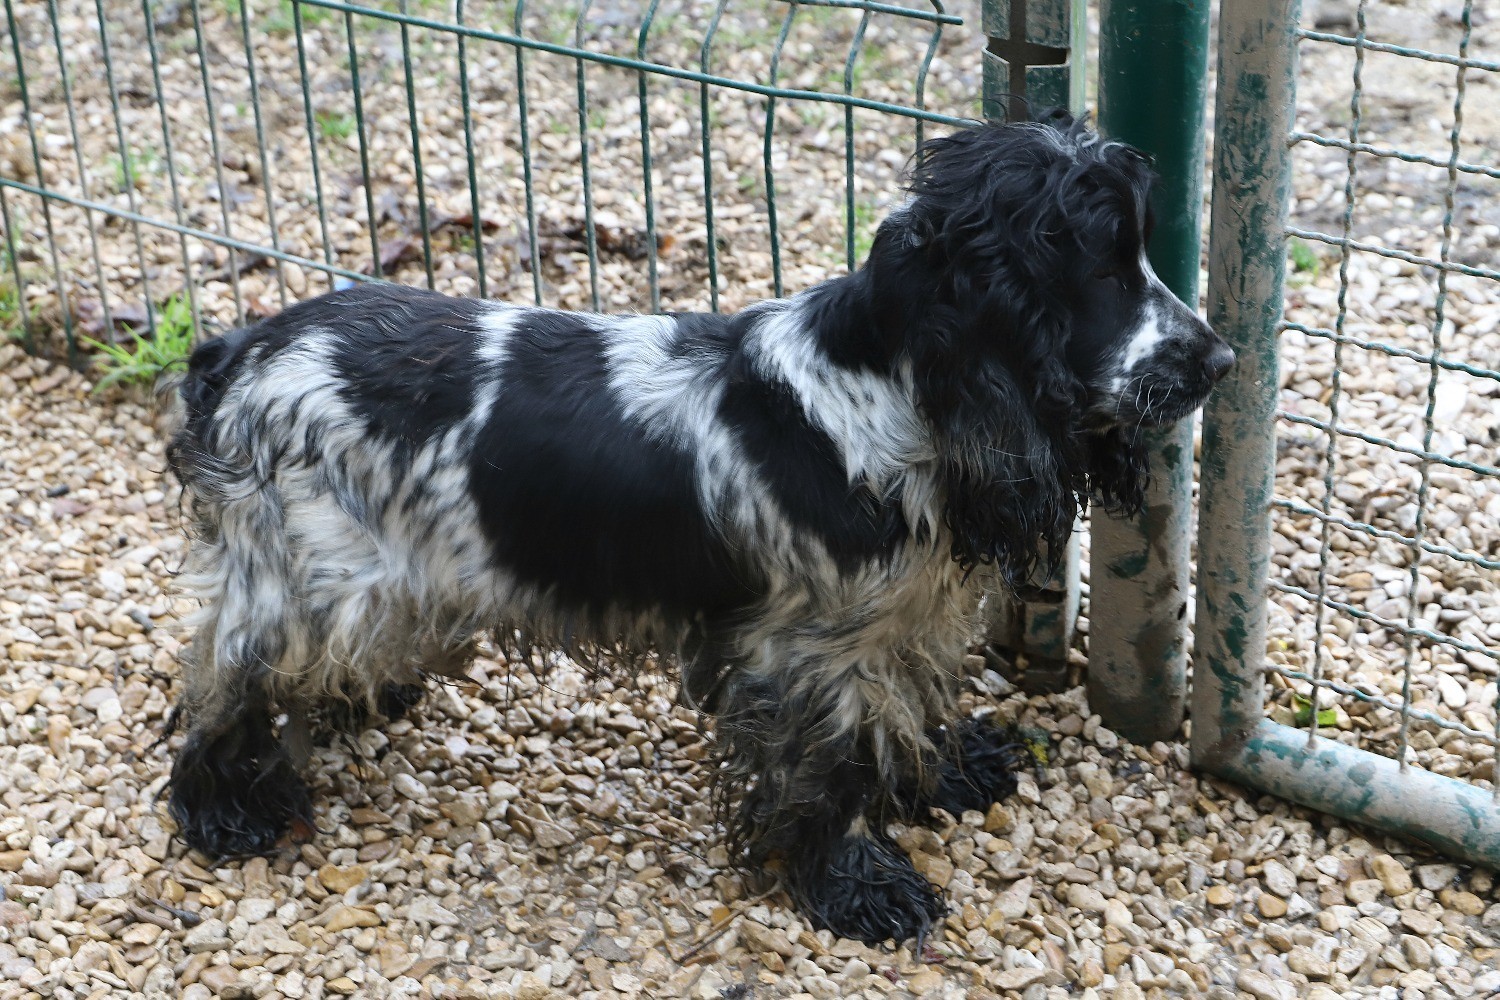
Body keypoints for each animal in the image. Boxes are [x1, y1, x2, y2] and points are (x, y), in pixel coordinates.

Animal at [161, 113, 1230, 941]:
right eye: (1104, 269)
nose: (1220, 361)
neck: (888, 390)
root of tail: (240, 348)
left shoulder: (901, 620)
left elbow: (908, 710)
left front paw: (950, 771)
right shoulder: (808, 656)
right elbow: (829, 772)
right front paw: (857, 887)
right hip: (305, 580)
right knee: (224, 683)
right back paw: (226, 810)